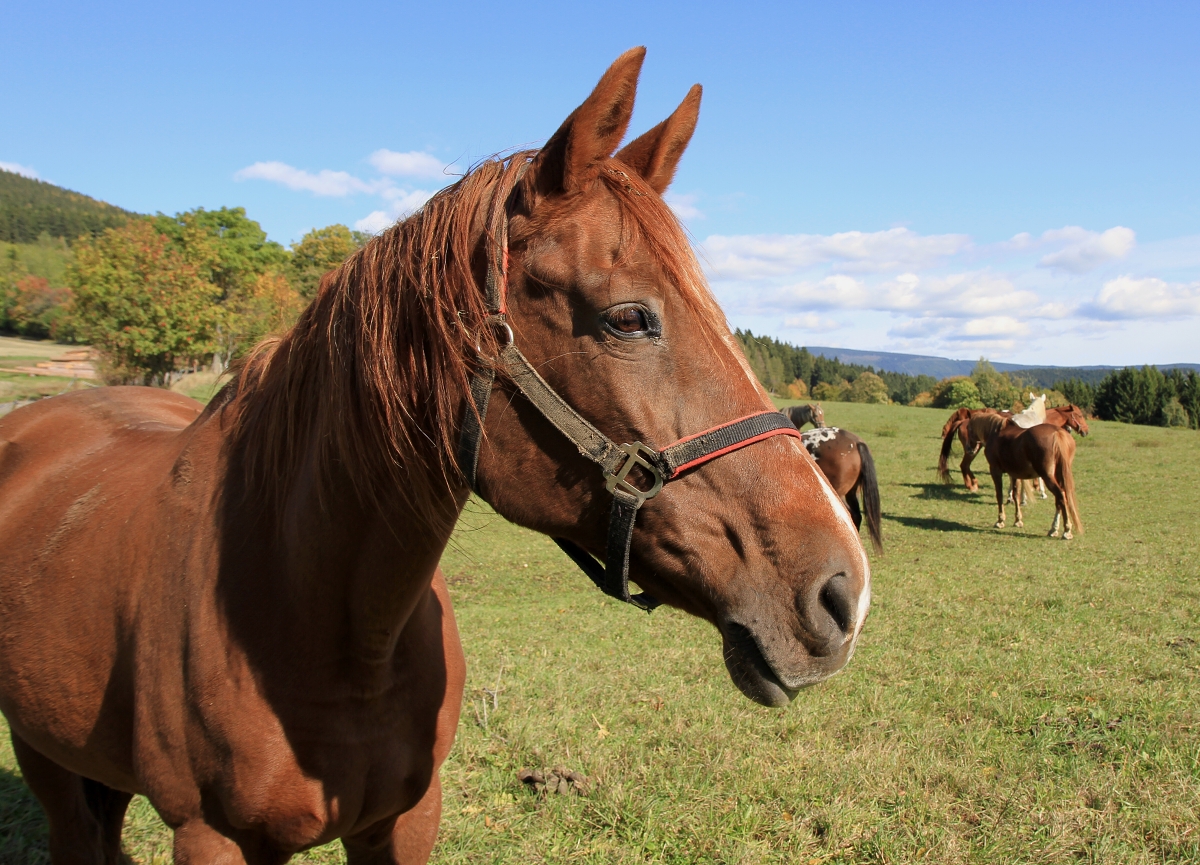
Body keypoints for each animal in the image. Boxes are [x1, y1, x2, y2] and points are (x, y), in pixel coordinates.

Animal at [0, 48, 868, 863]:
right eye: (628, 317)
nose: (844, 592)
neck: (330, 631)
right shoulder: (211, 835)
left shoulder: (407, 819)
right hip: (44, 758)